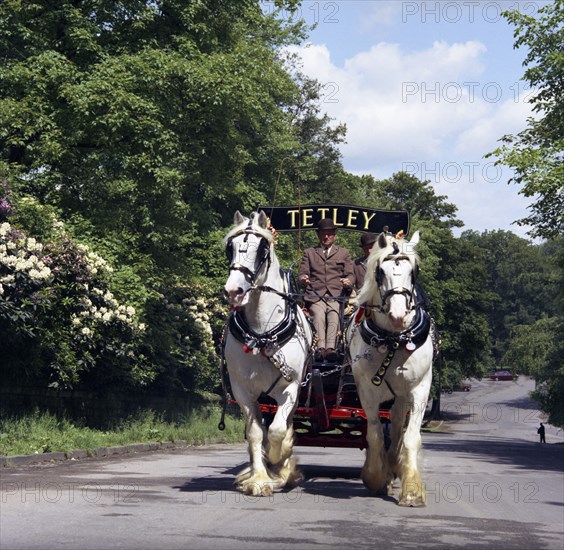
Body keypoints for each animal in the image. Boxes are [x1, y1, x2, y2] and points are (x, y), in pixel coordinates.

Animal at [221, 209, 312, 498]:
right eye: (230, 248)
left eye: (262, 250)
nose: (233, 291)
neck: (262, 335)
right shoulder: (243, 391)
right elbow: (255, 433)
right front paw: (259, 479)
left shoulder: (290, 387)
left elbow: (277, 431)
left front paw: (277, 461)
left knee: (285, 424)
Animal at [346, 230, 434, 508]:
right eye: (380, 272)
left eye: (413, 270)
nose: (398, 315)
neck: (394, 339)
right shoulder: (366, 389)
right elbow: (373, 433)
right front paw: (376, 476)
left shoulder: (420, 387)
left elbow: (410, 436)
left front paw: (412, 490)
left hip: (401, 394)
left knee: (396, 425)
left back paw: (396, 464)